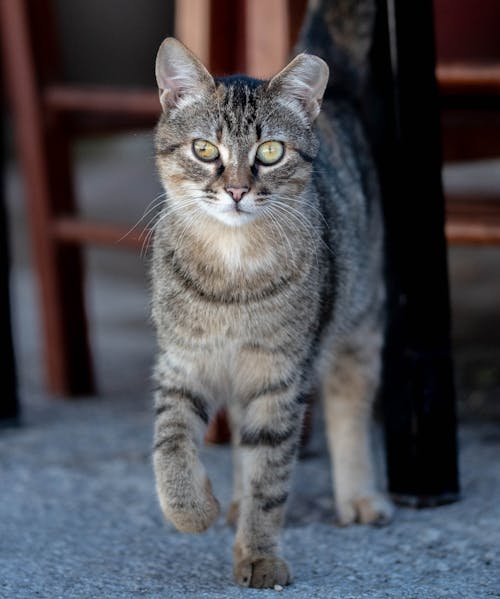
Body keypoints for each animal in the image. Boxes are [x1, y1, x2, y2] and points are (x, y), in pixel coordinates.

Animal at [150, 0, 392, 592]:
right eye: (205, 149)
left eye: (270, 151)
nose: (237, 189)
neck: (232, 271)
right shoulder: (182, 364)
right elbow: (171, 447)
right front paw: (194, 510)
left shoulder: (280, 378)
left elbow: (270, 479)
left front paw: (258, 555)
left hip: (359, 325)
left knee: (349, 409)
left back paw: (359, 496)